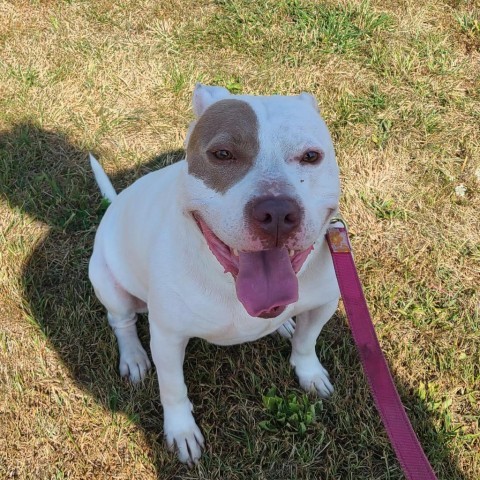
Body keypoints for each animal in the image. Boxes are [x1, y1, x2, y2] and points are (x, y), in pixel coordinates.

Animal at [89, 83, 342, 464]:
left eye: (311, 156)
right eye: (222, 154)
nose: (277, 212)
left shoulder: (324, 304)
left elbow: (306, 342)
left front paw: (309, 372)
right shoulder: (167, 338)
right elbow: (173, 388)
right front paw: (181, 431)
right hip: (107, 280)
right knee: (122, 322)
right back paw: (133, 356)